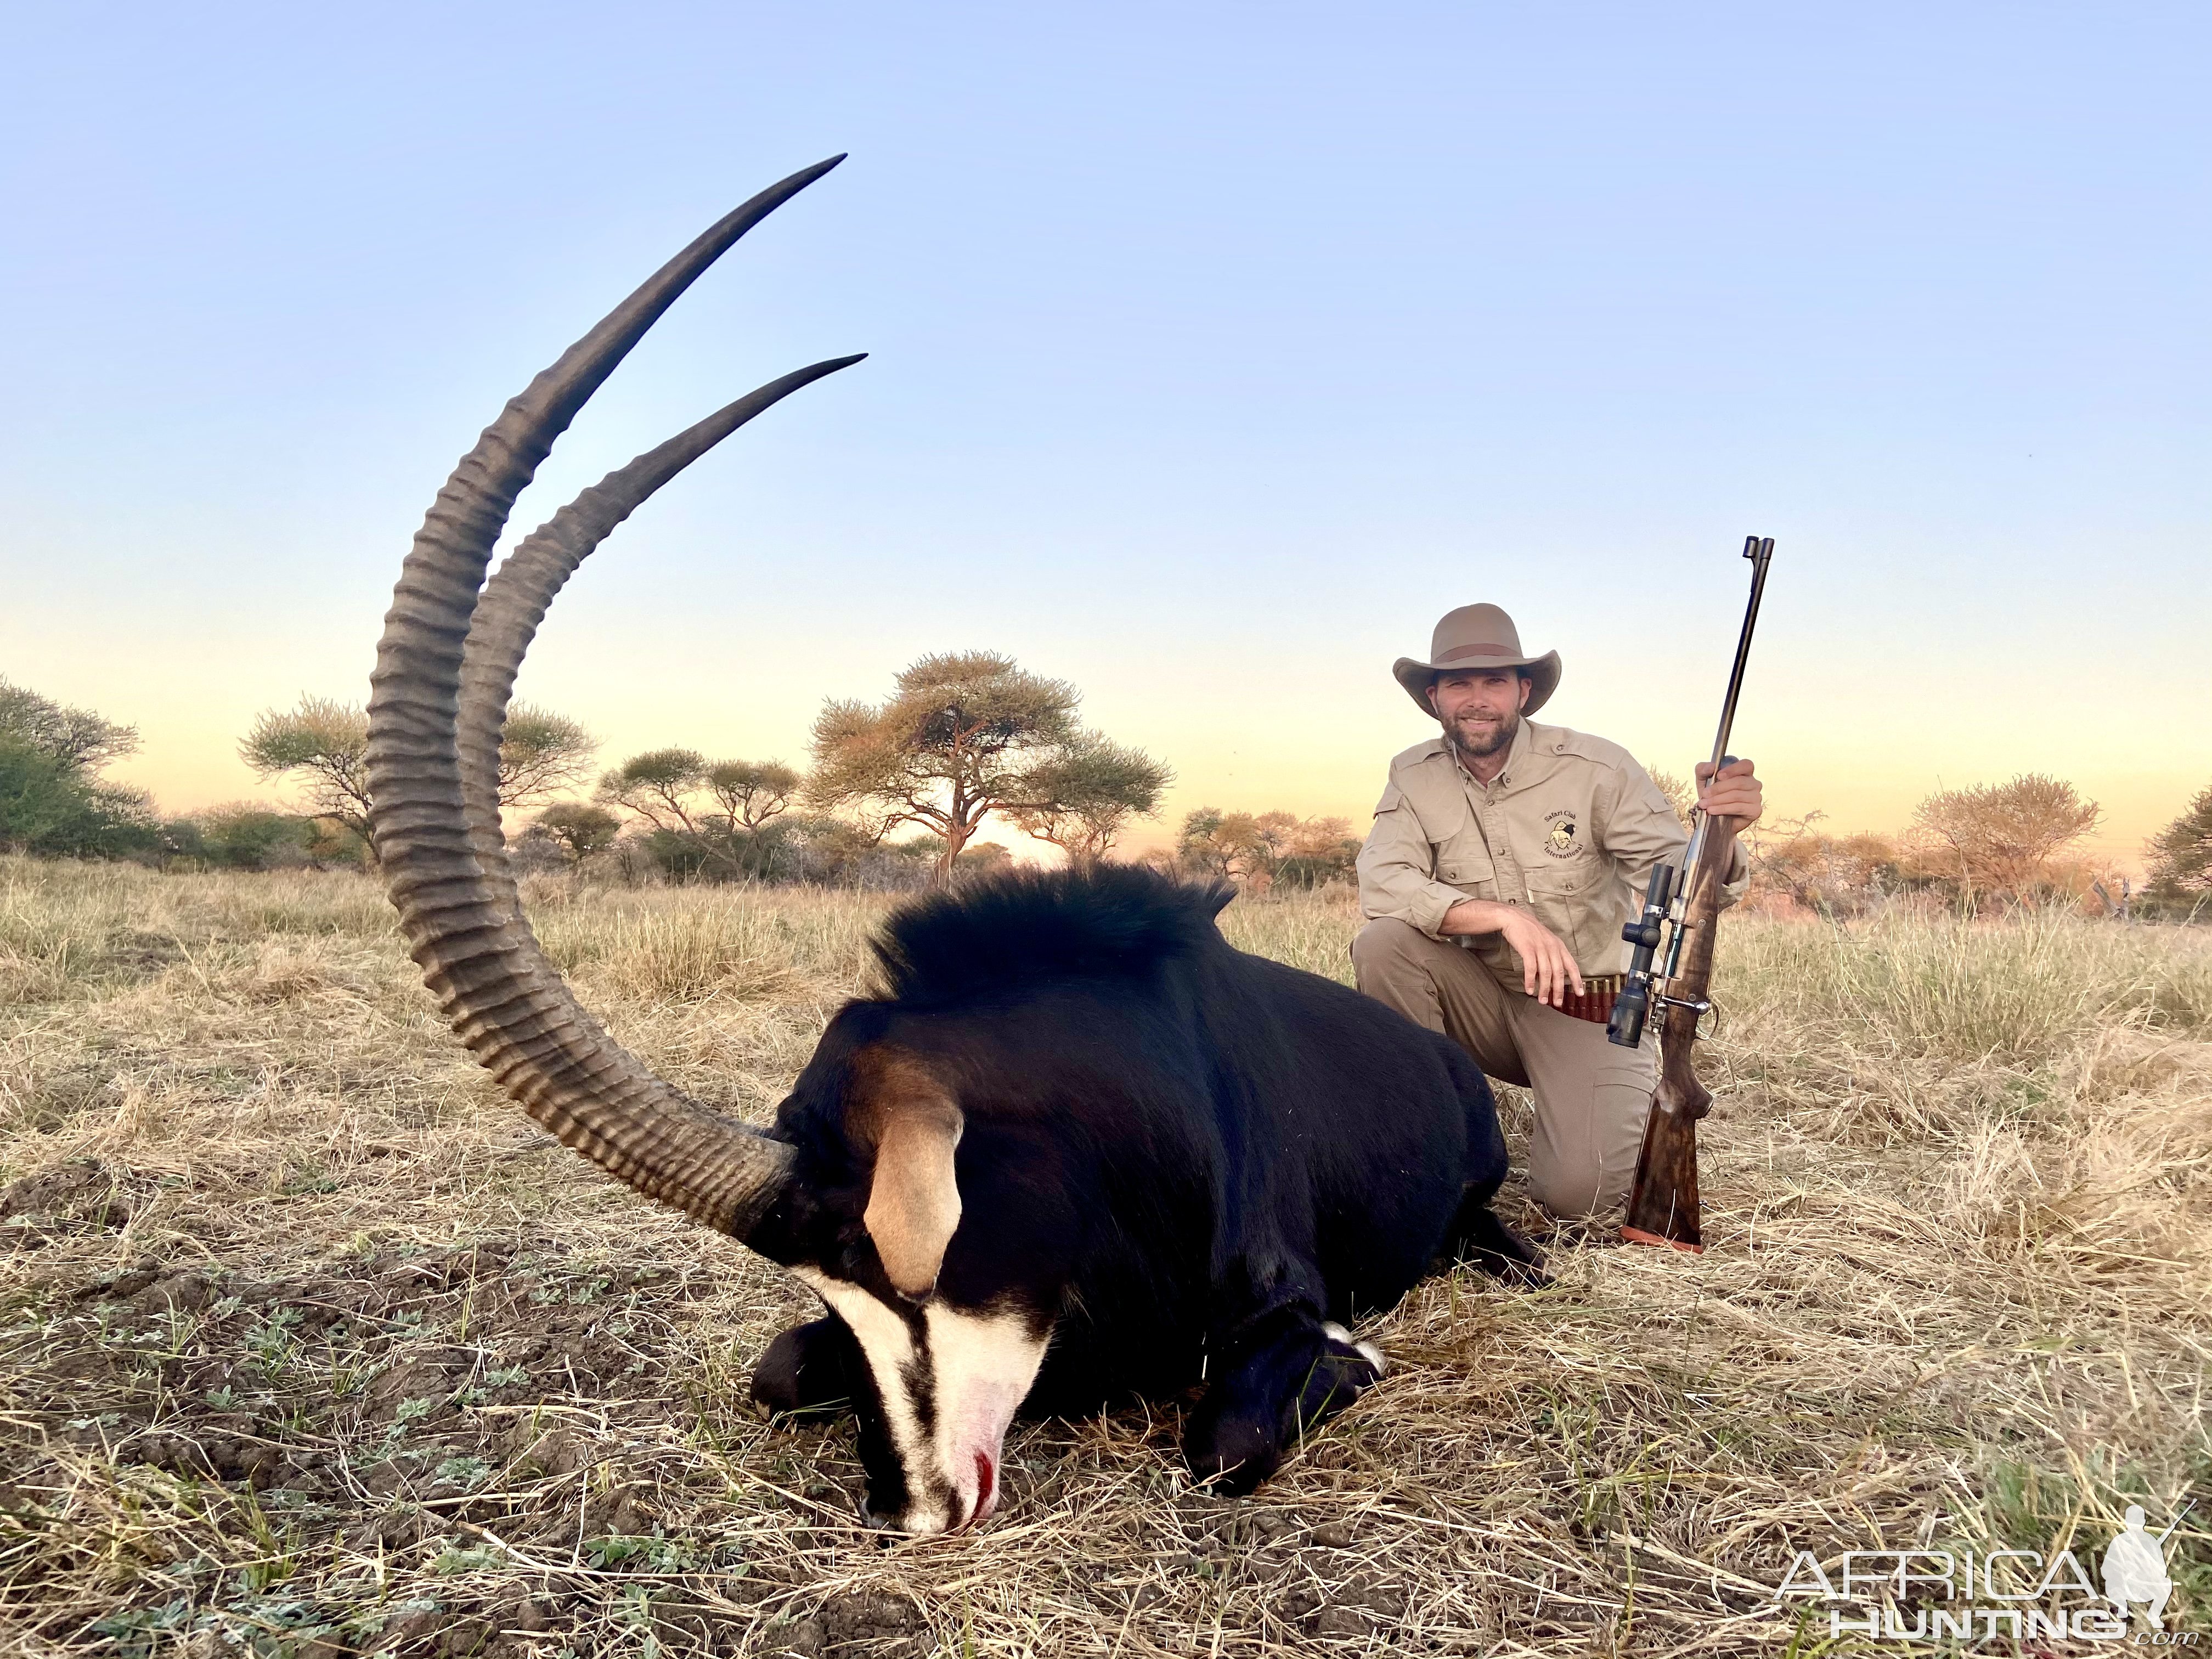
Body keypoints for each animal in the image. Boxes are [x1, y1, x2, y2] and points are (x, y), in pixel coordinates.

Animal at [367, 162, 1539, 1539]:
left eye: (881, 1252)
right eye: (827, 1278)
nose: (916, 1505)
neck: (1123, 1110)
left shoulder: (1277, 1313)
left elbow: (1229, 1435)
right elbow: (776, 1370)